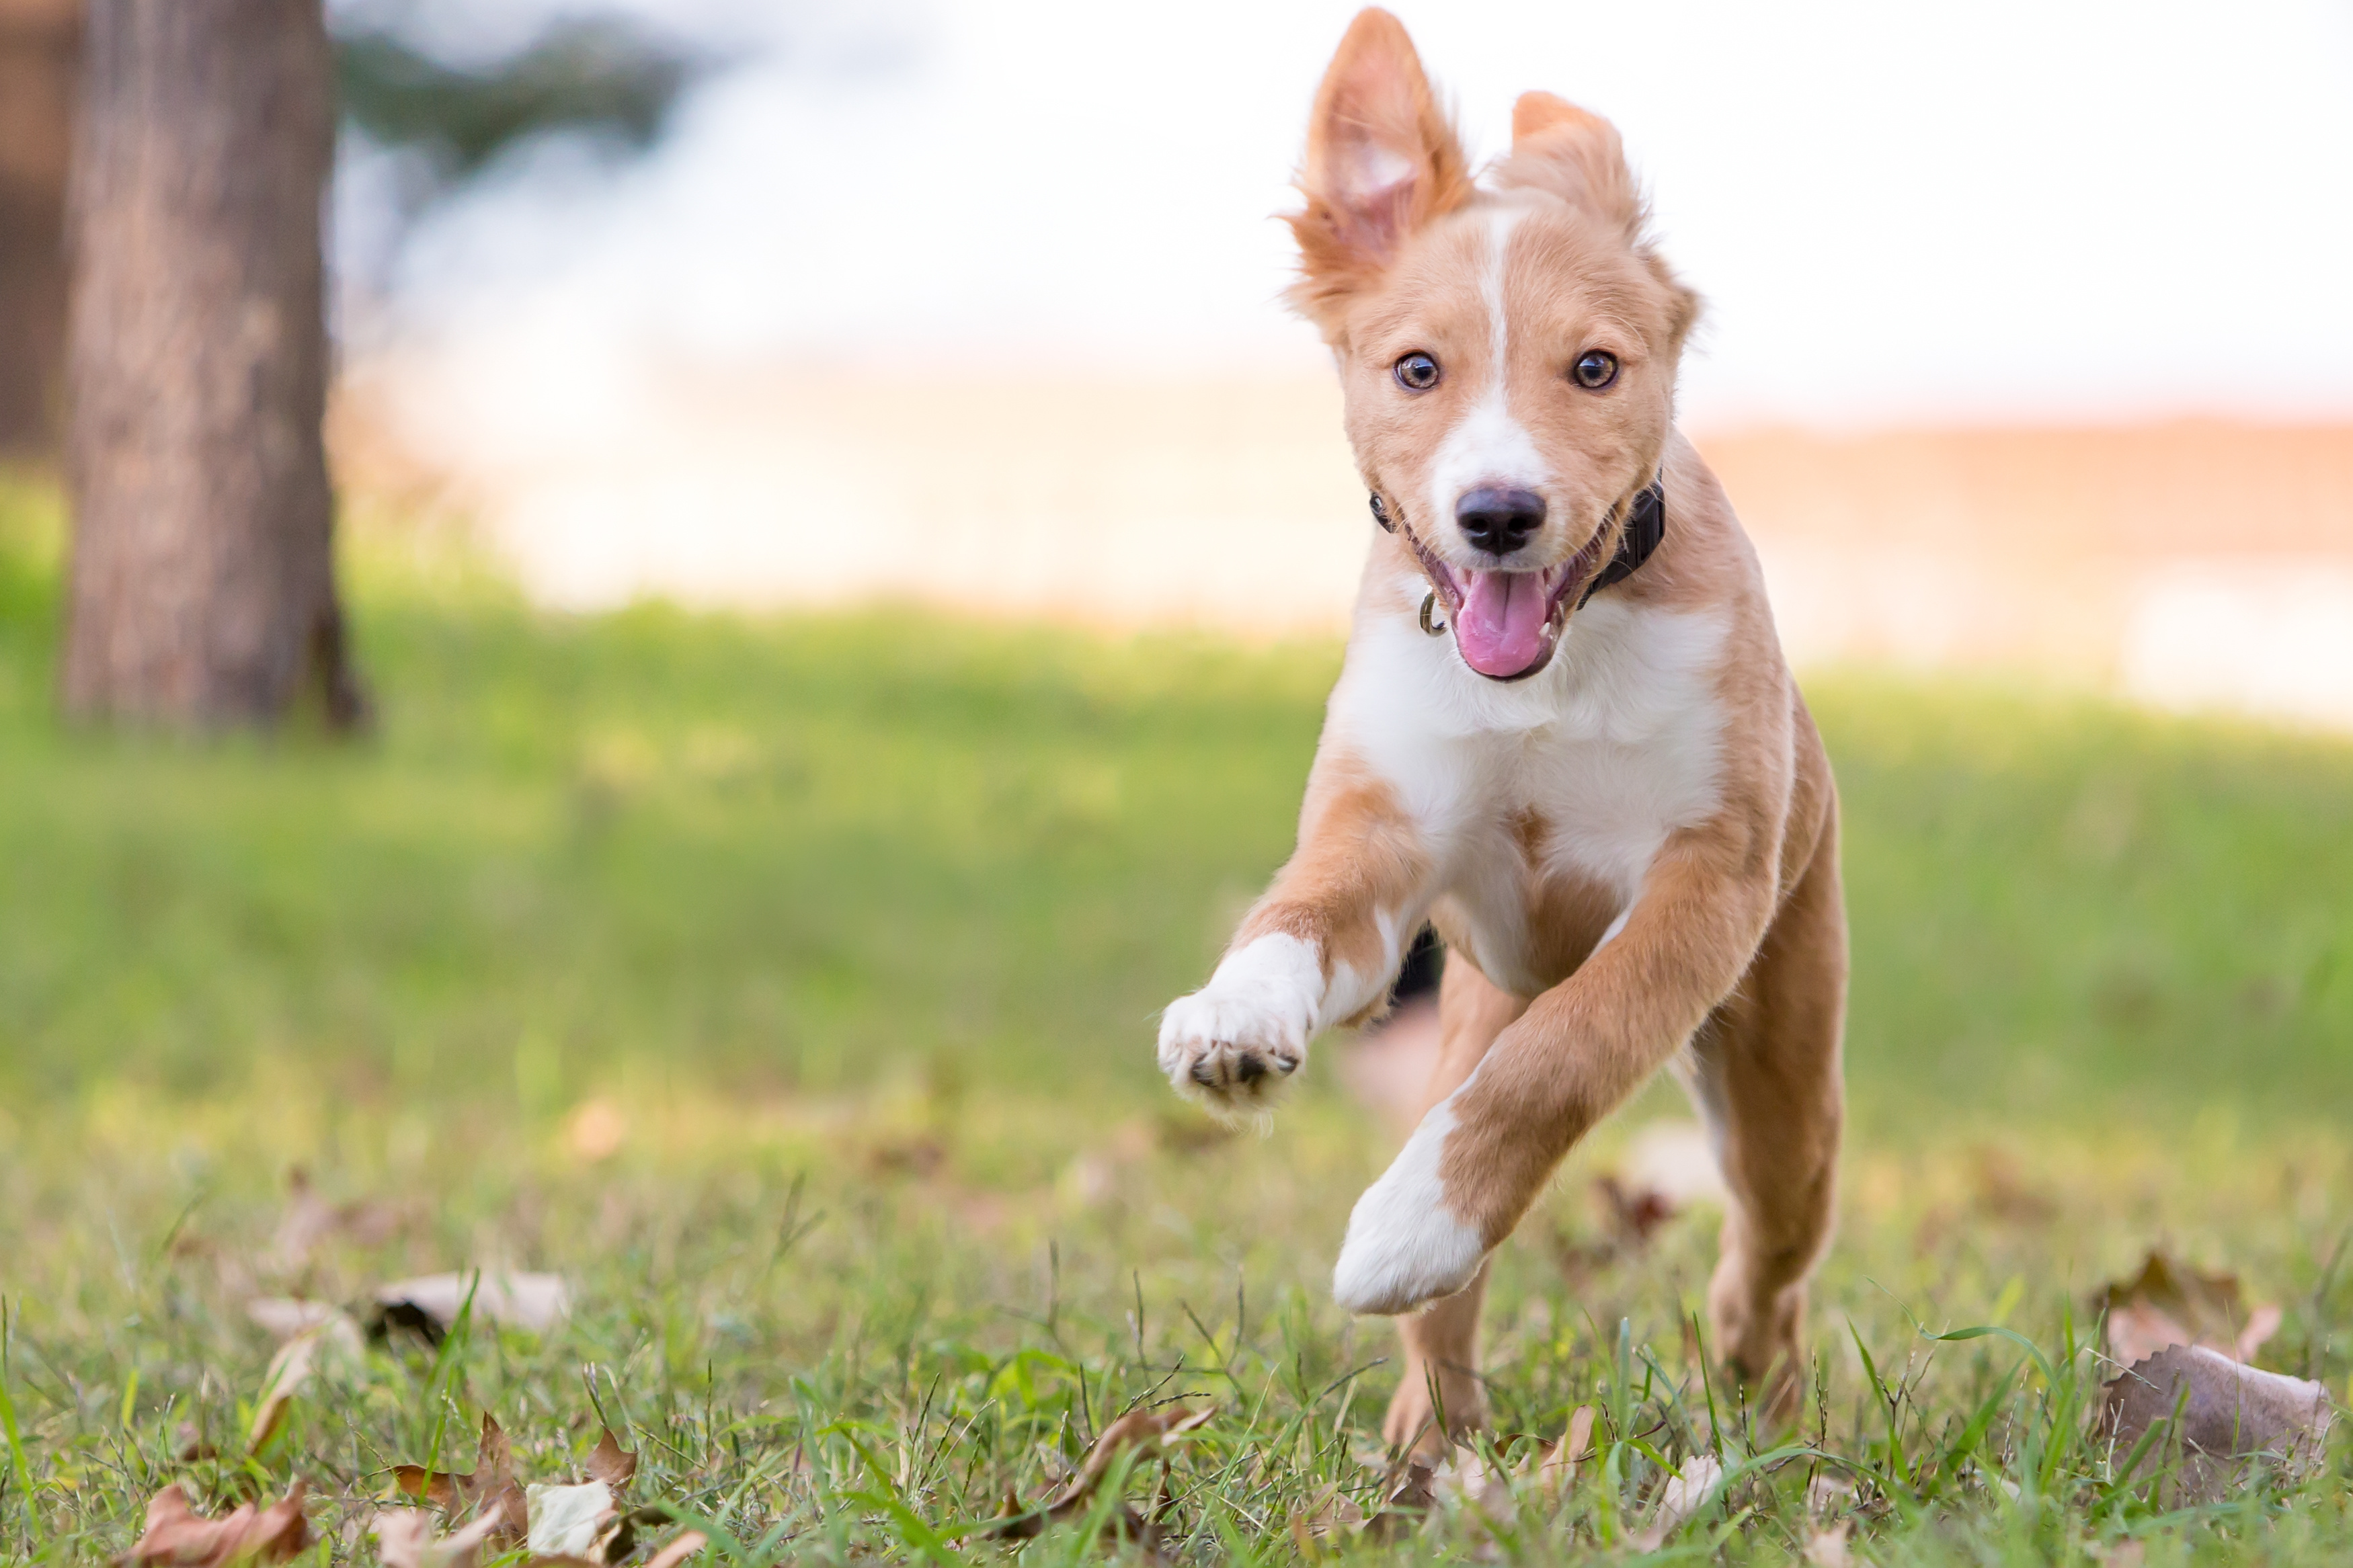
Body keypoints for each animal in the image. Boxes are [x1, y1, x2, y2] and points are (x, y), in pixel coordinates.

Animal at [1158, 9, 1854, 1457]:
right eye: (1416, 369)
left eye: (1594, 367)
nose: (1496, 514)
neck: (1554, 664)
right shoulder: (1387, 836)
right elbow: (1294, 911)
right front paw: (1232, 1017)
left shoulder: (1707, 883)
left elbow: (1568, 1050)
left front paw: (1410, 1221)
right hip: (1467, 1009)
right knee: (1456, 1272)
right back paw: (1429, 1439)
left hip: (1782, 1058)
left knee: (1768, 1248)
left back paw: (1757, 1393)